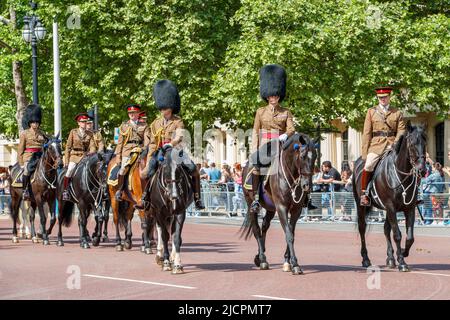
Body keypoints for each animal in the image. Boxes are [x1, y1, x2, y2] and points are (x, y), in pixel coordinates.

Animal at [144, 146, 193, 274]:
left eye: (179, 169)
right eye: (165, 168)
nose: (174, 195)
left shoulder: (180, 213)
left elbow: (176, 237)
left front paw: (177, 264)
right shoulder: (160, 213)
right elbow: (165, 236)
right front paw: (166, 262)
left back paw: (172, 257)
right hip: (156, 213)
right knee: (160, 230)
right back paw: (160, 256)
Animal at [239, 132, 316, 276]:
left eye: (315, 156)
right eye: (302, 156)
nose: (307, 185)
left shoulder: (296, 210)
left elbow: (291, 233)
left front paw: (287, 262)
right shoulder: (281, 207)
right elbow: (289, 235)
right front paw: (295, 264)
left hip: (270, 208)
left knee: (264, 226)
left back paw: (259, 257)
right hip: (250, 203)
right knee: (256, 229)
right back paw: (263, 259)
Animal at [354, 124, 428, 272]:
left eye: (425, 143)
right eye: (412, 143)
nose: (422, 170)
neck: (400, 175)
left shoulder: (409, 208)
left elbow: (410, 237)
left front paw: (403, 253)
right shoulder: (391, 207)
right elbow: (397, 235)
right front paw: (402, 262)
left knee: (386, 229)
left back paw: (390, 259)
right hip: (361, 206)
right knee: (362, 228)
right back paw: (366, 259)